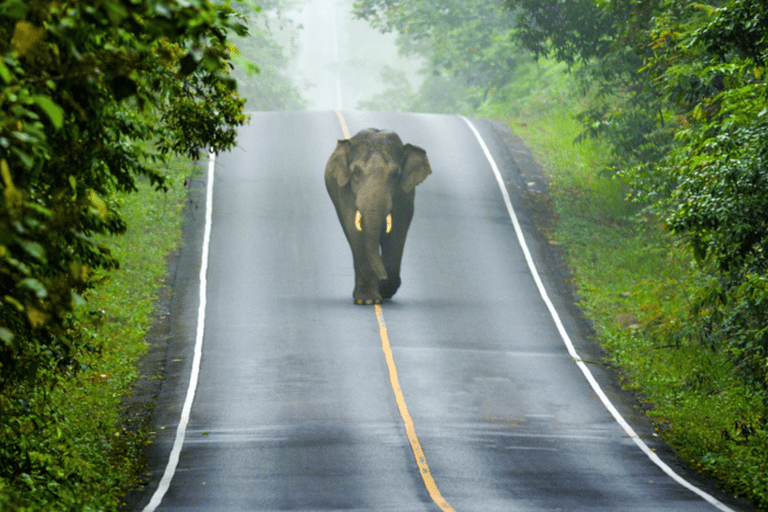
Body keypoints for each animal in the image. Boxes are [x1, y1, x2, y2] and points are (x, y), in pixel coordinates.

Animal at [324, 128, 432, 304]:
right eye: (355, 172)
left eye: (395, 174)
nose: (382, 279)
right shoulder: (345, 190)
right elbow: (354, 231)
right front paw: (368, 300)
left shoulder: (405, 195)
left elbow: (397, 232)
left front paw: (384, 289)